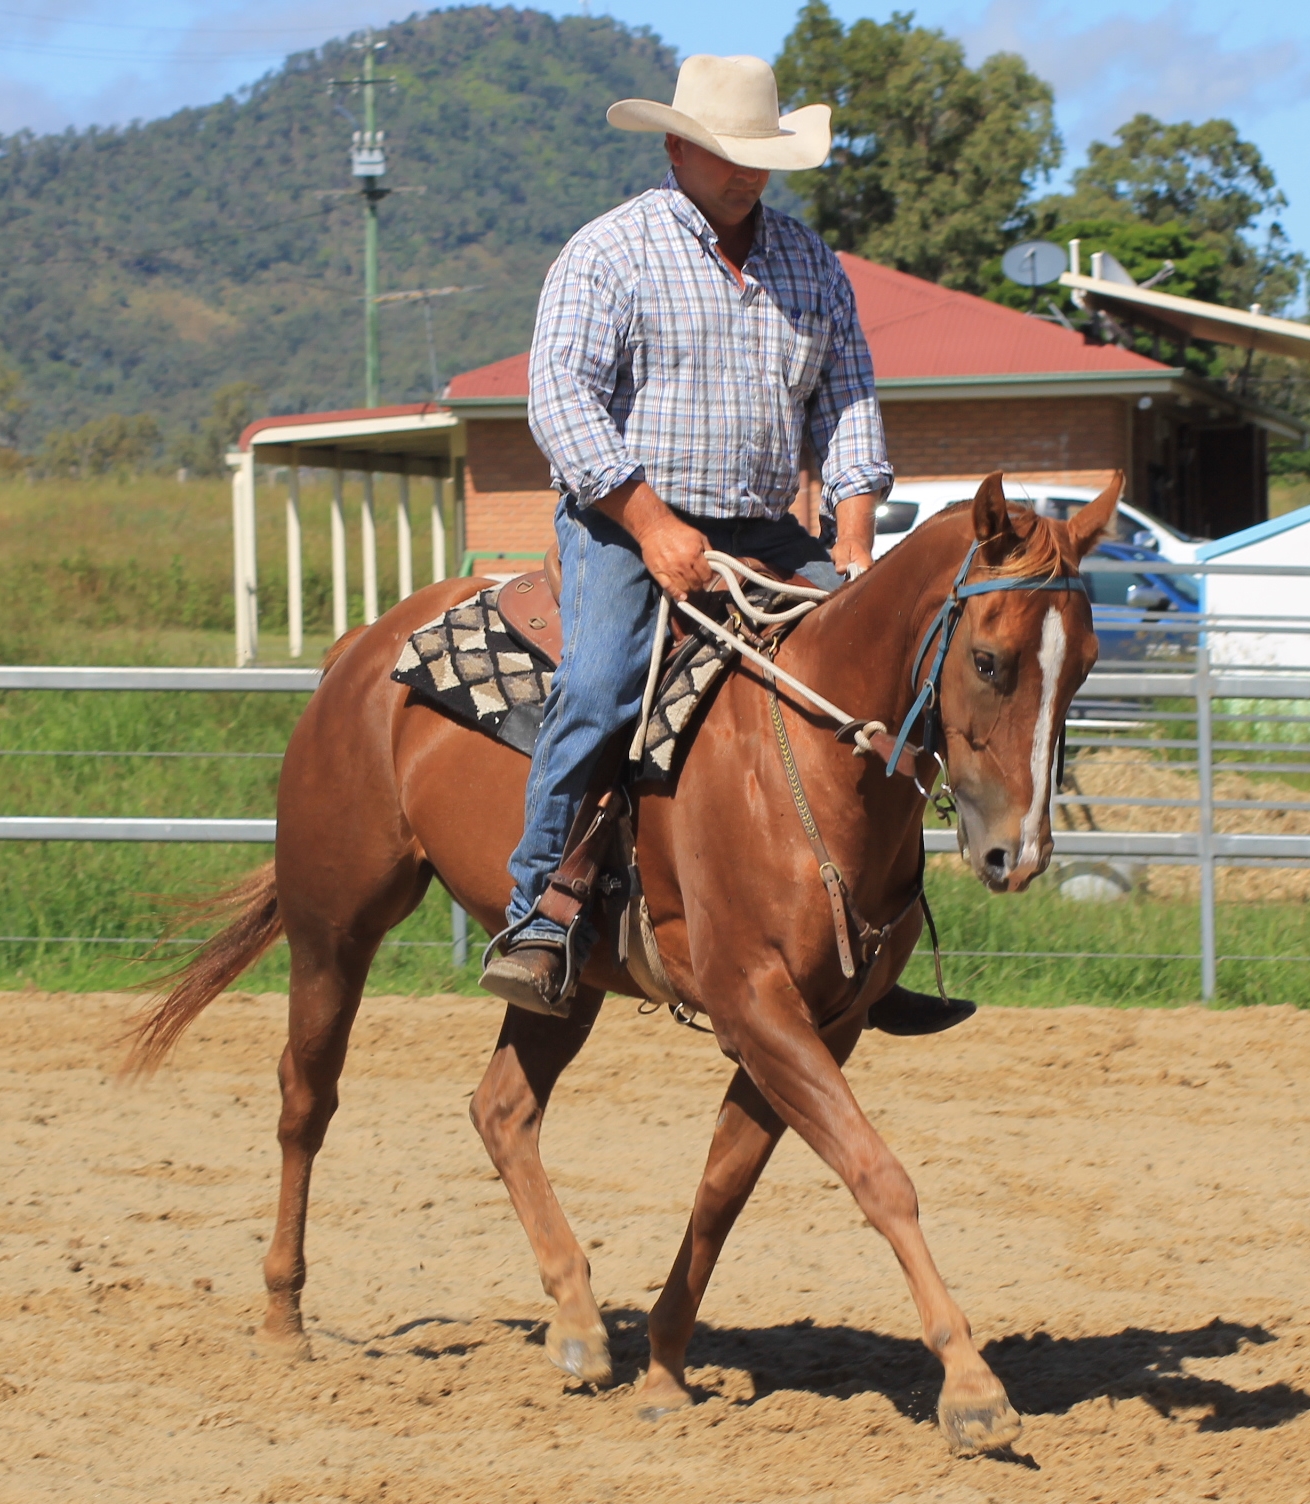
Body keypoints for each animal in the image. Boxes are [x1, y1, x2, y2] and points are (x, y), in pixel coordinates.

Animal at [130, 470, 1118, 1455]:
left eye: (1085, 663)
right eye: (988, 660)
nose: (1019, 855)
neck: (803, 762)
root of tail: (359, 652)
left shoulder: (820, 1026)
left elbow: (723, 1190)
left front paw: (665, 1369)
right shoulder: (756, 1006)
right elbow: (880, 1177)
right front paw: (972, 1388)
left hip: (561, 988)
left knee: (501, 1108)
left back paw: (577, 1323)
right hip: (333, 924)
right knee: (307, 1099)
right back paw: (283, 1320)